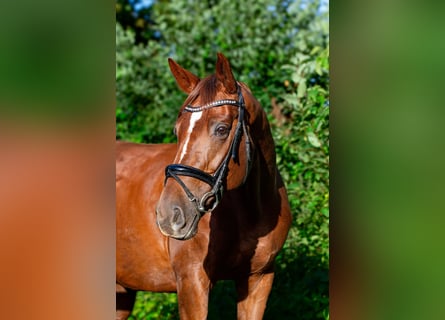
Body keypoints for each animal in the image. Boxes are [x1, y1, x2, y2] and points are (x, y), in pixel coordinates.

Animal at [116, 53, 292, 320]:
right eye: (177, 131)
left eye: (221, 129)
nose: (169, 215)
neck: (249, 213)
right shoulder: (192, 282)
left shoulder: (258, 279)